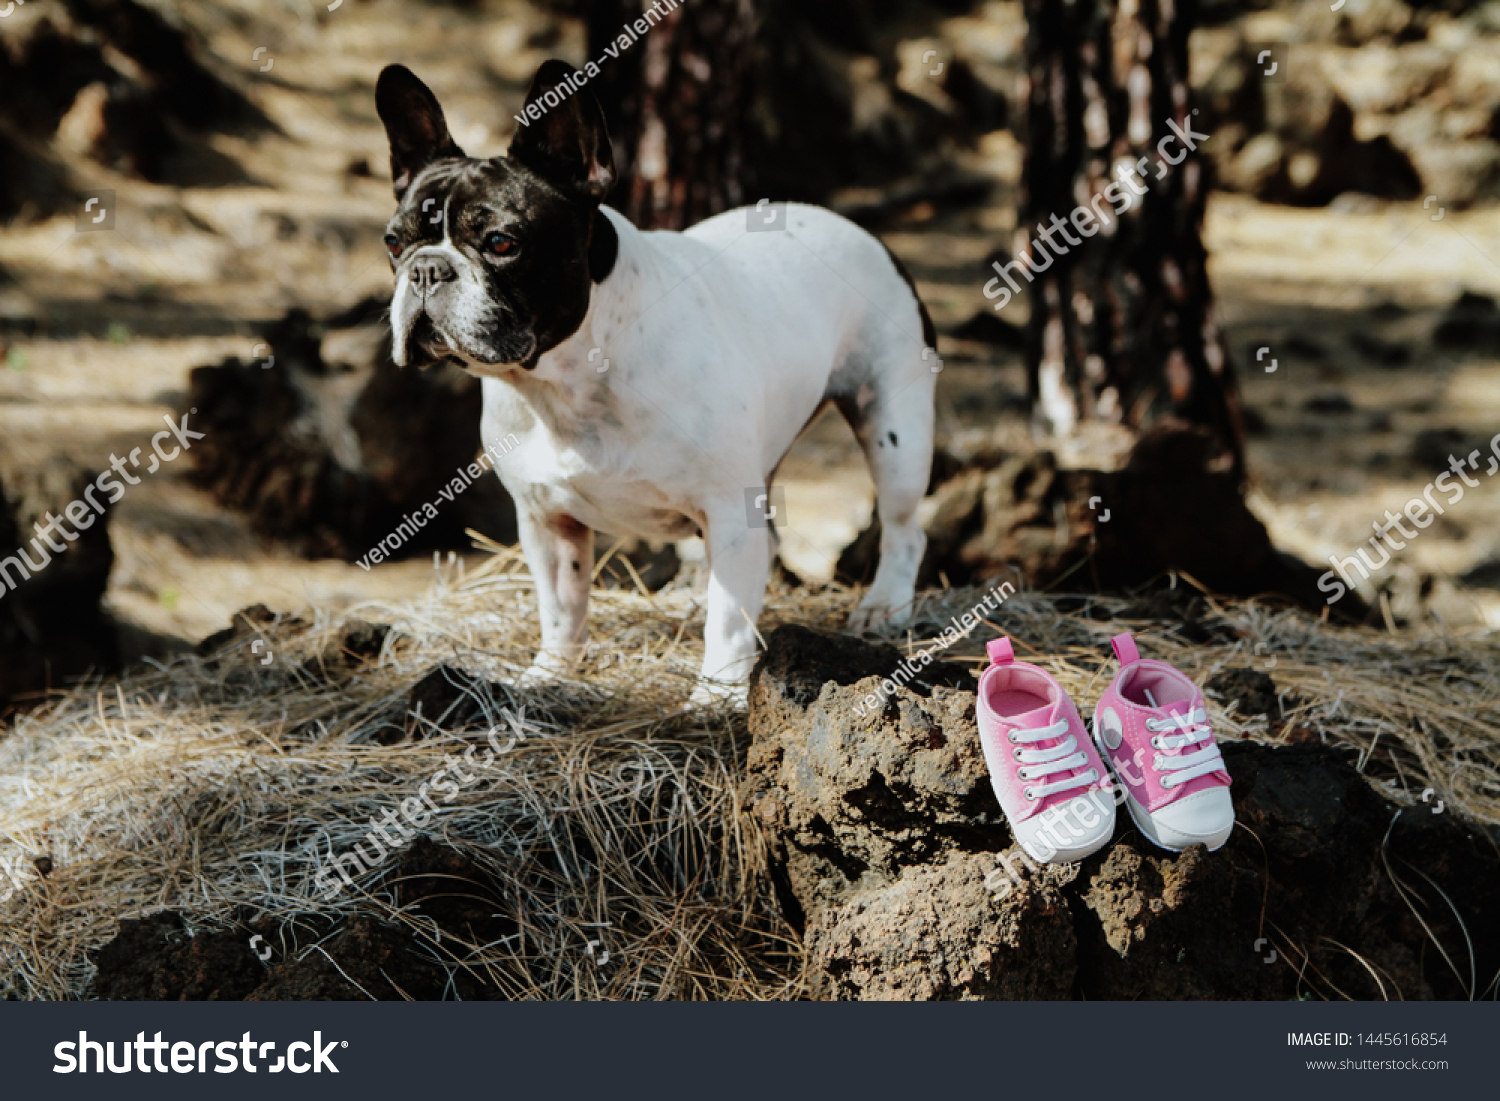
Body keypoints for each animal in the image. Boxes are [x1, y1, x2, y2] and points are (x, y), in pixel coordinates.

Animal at [375, 60, 936, 702]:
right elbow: (561, 606)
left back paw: (883, 607)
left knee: (902, 527)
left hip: (894, 427)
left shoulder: (727, 509)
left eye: (501, 243)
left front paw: (716, 693)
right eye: (394, 243)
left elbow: (727, 616)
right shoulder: (546, 520)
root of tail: (850, 224)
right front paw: (550, 674)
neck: (568, 379)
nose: (425, 269)